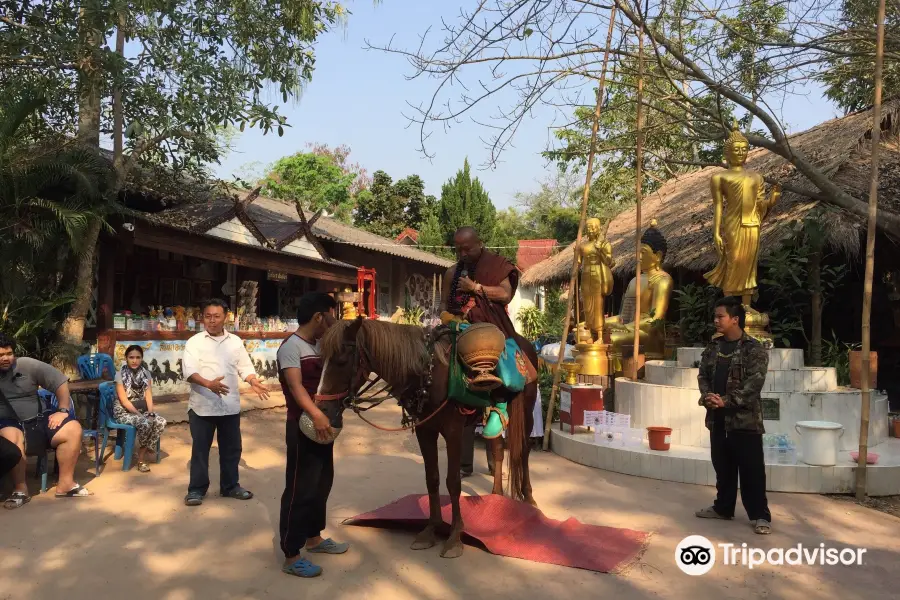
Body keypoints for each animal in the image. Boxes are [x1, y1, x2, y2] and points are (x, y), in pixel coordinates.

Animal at [320, 318, 536, 556]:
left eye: (341, 360)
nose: (322, 407)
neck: (429, 374)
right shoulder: (425, 430)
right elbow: (432, 479)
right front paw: (432, 529)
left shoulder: (453, 431)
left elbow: (453, 482)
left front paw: (454, 536)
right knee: (497, 448)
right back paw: (496, 495)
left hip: (527, 410)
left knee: (524, 450)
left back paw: (528, 497)